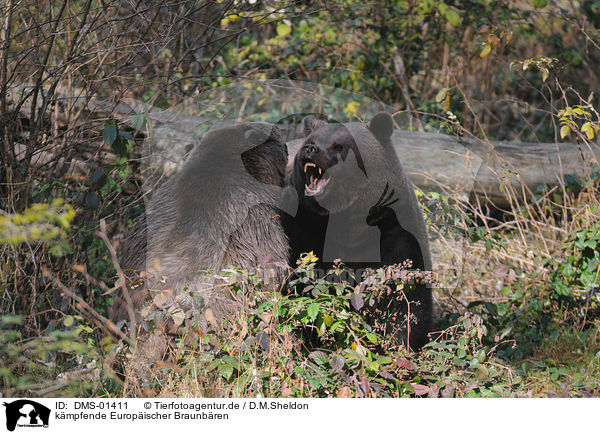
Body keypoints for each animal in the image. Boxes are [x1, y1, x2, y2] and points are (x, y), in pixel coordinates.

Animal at [284, 112, 432, 350]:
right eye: (313, 140)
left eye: (338, 146)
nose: (309, 149)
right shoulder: (304, 227)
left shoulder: (394, 230)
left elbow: (406, 295)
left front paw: (400, 342)